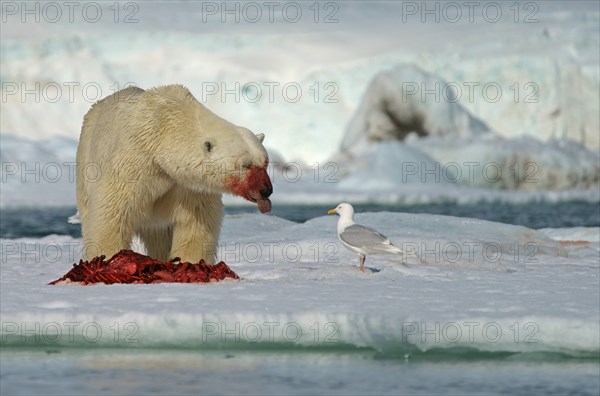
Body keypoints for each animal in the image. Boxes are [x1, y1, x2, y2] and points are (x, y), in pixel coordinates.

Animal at [76, 84, 274, 262]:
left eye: (265, 162)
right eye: (245, 165)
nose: (266, 190)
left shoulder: (190, 184)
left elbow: (195, 224)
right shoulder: (134, 163)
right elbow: (113, 212)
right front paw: (109, 259)